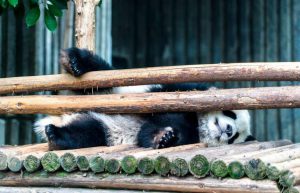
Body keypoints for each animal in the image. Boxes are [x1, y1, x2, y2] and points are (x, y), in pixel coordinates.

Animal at [34, 47, 255, 150]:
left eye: (234, 137)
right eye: (230, 113)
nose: (228, 130)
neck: (199, 123)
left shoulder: (191, 133)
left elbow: (150, 132)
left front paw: (164, 138)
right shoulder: (181, 90)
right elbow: (165, 98)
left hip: (105, 128)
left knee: (87, 132)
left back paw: (56, 134)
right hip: (109, 89)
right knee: (100, 71)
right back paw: (74, 62)